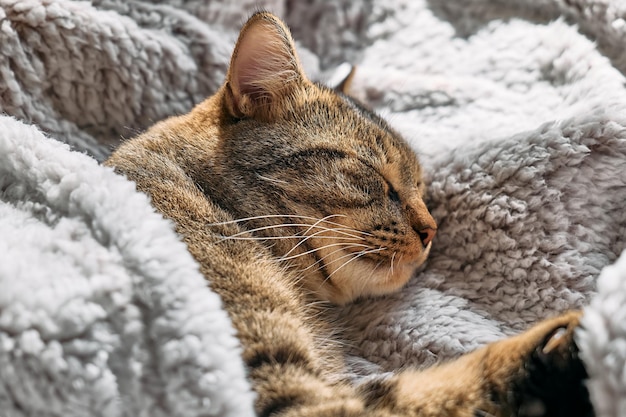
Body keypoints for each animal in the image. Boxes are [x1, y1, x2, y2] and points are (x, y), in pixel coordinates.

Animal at [105, 12, 592, 416]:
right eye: (376, 175)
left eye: (420, 187)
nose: (432, 229)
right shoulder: (281, 389)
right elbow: (440, 388)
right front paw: (570, 338)